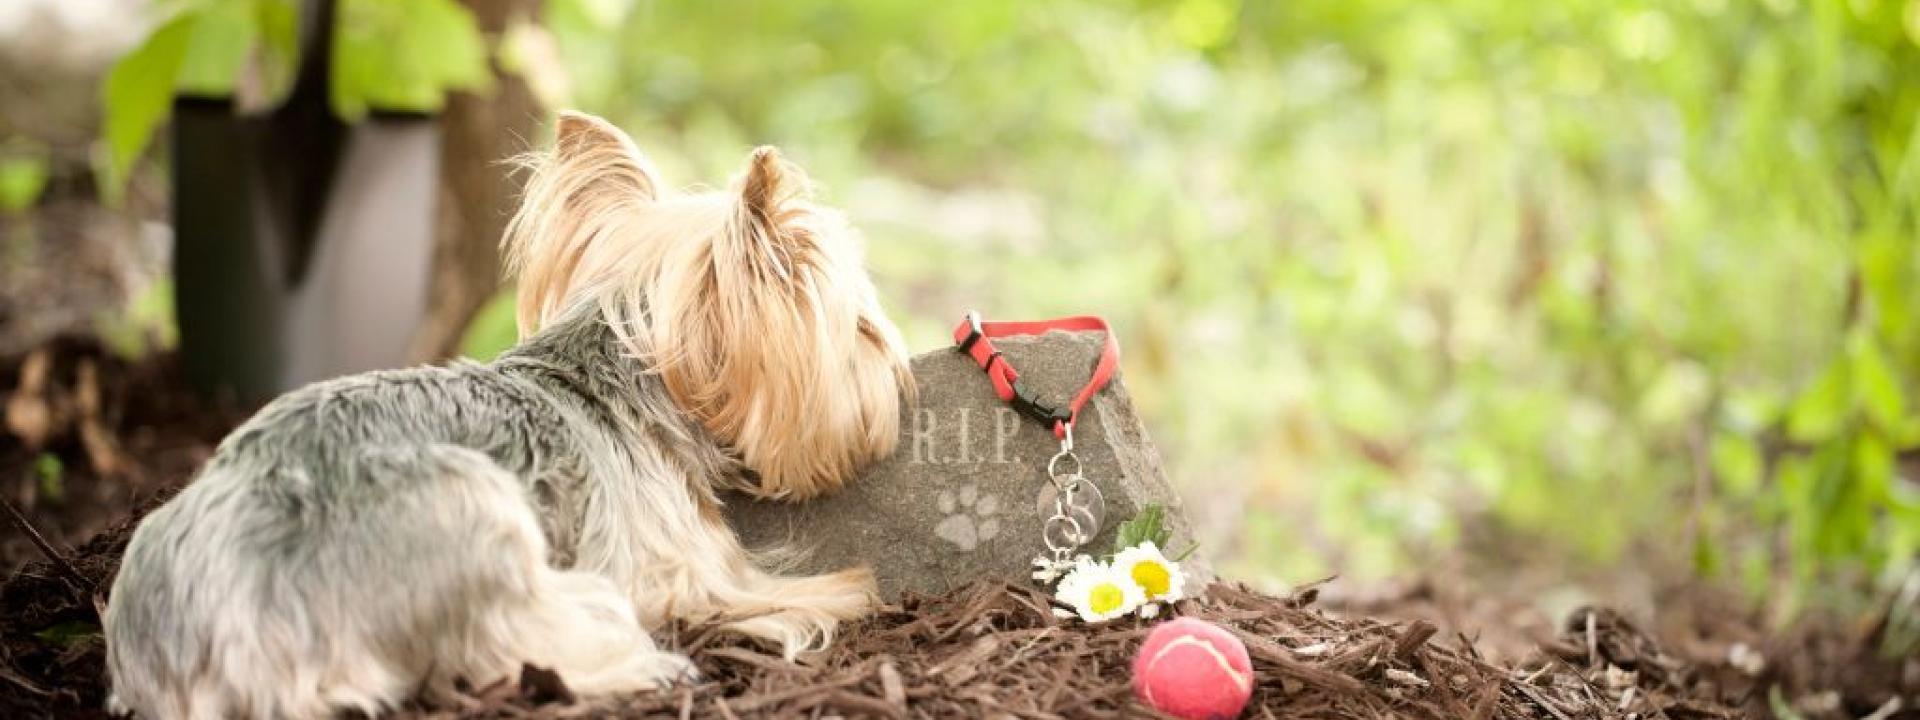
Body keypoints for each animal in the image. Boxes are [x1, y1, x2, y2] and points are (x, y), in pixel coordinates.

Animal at [105, 112, 913, 720]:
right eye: (864, 332)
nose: (898, 381)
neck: (624, 360)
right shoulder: (683, 567)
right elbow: (768, 589)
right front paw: (842, 591)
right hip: (472, 510)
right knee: (516, 645)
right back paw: (650, 667)